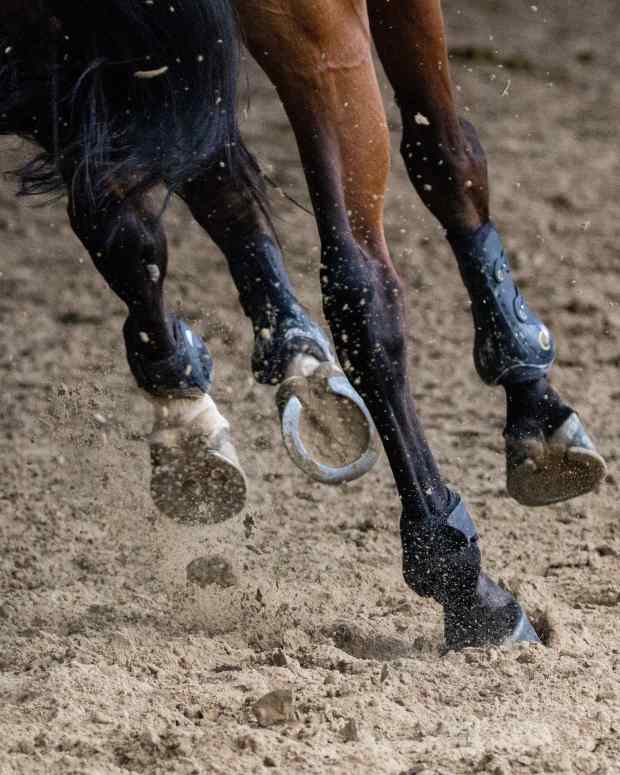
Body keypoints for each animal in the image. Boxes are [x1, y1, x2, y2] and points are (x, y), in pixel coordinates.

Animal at [0, 0, 607, 651]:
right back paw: (461, 580)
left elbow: (173, 200)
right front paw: (534, 399)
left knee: (152, 205)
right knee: (359, 286)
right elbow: (444, 157)